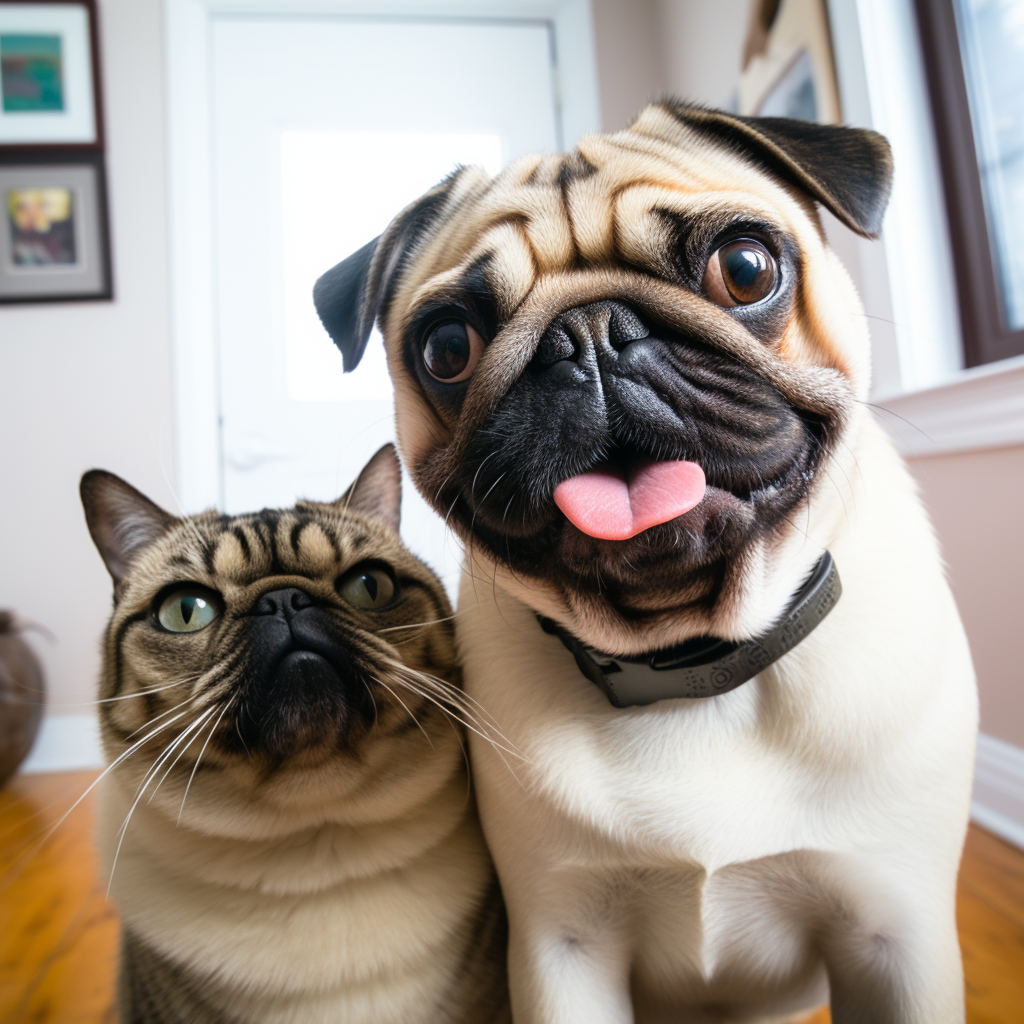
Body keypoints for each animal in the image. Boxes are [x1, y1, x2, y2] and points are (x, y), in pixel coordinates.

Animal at [315, 103, 978, 1024]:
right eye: (447, 347)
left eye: (745, 268)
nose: (588, 334)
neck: (696, 663)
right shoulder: (562, 943)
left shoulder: (895, 929)